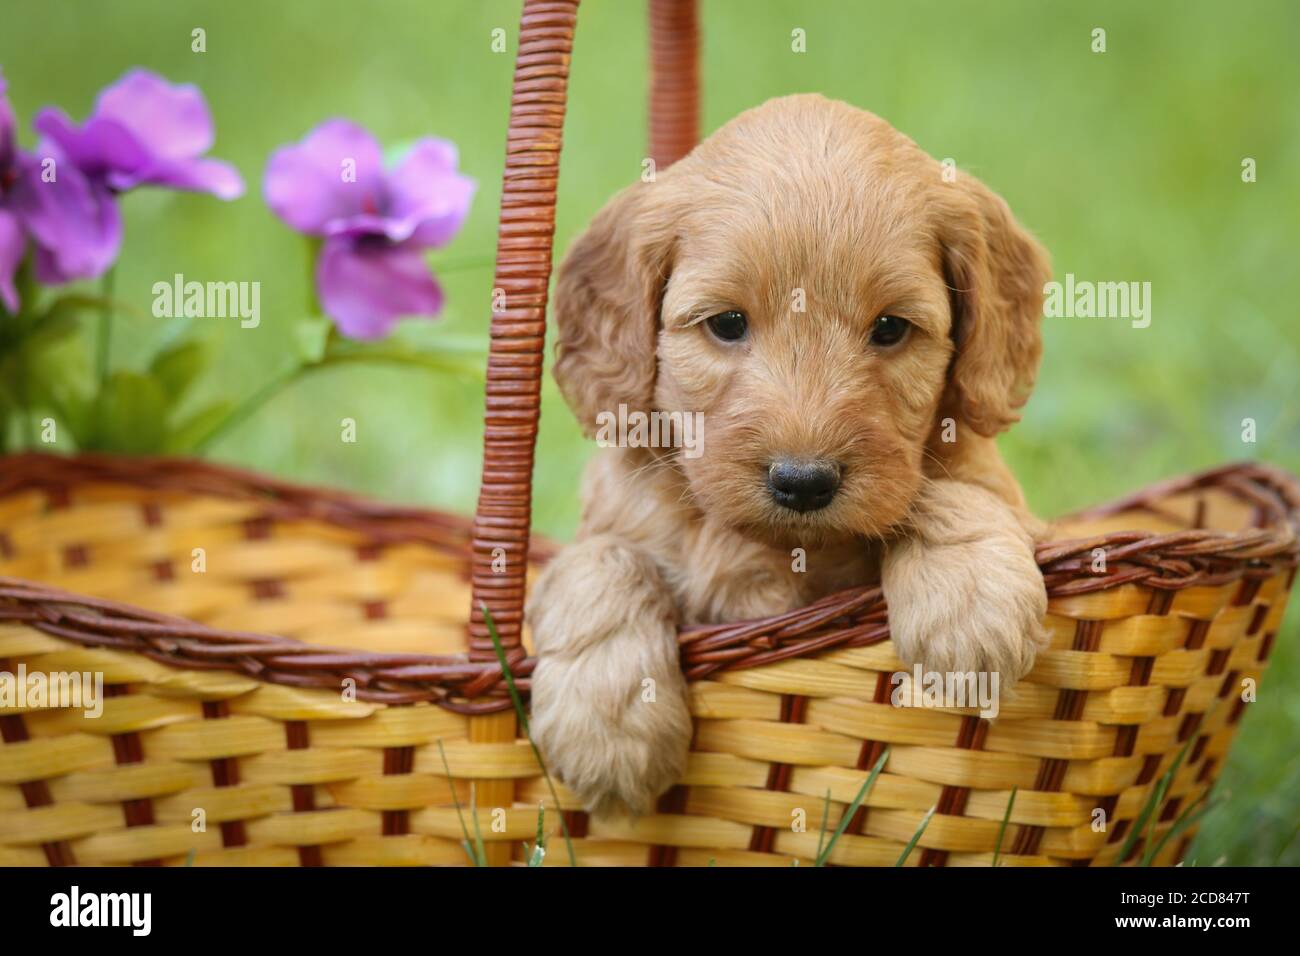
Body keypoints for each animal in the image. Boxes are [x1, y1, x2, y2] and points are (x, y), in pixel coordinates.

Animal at [522, 93, 1050, 816]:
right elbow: (598, 562)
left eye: (891, 328)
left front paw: (970, 606)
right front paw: (608, 728)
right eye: (726, 323)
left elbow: (946, 491)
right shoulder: (615, 522)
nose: (804, 482)